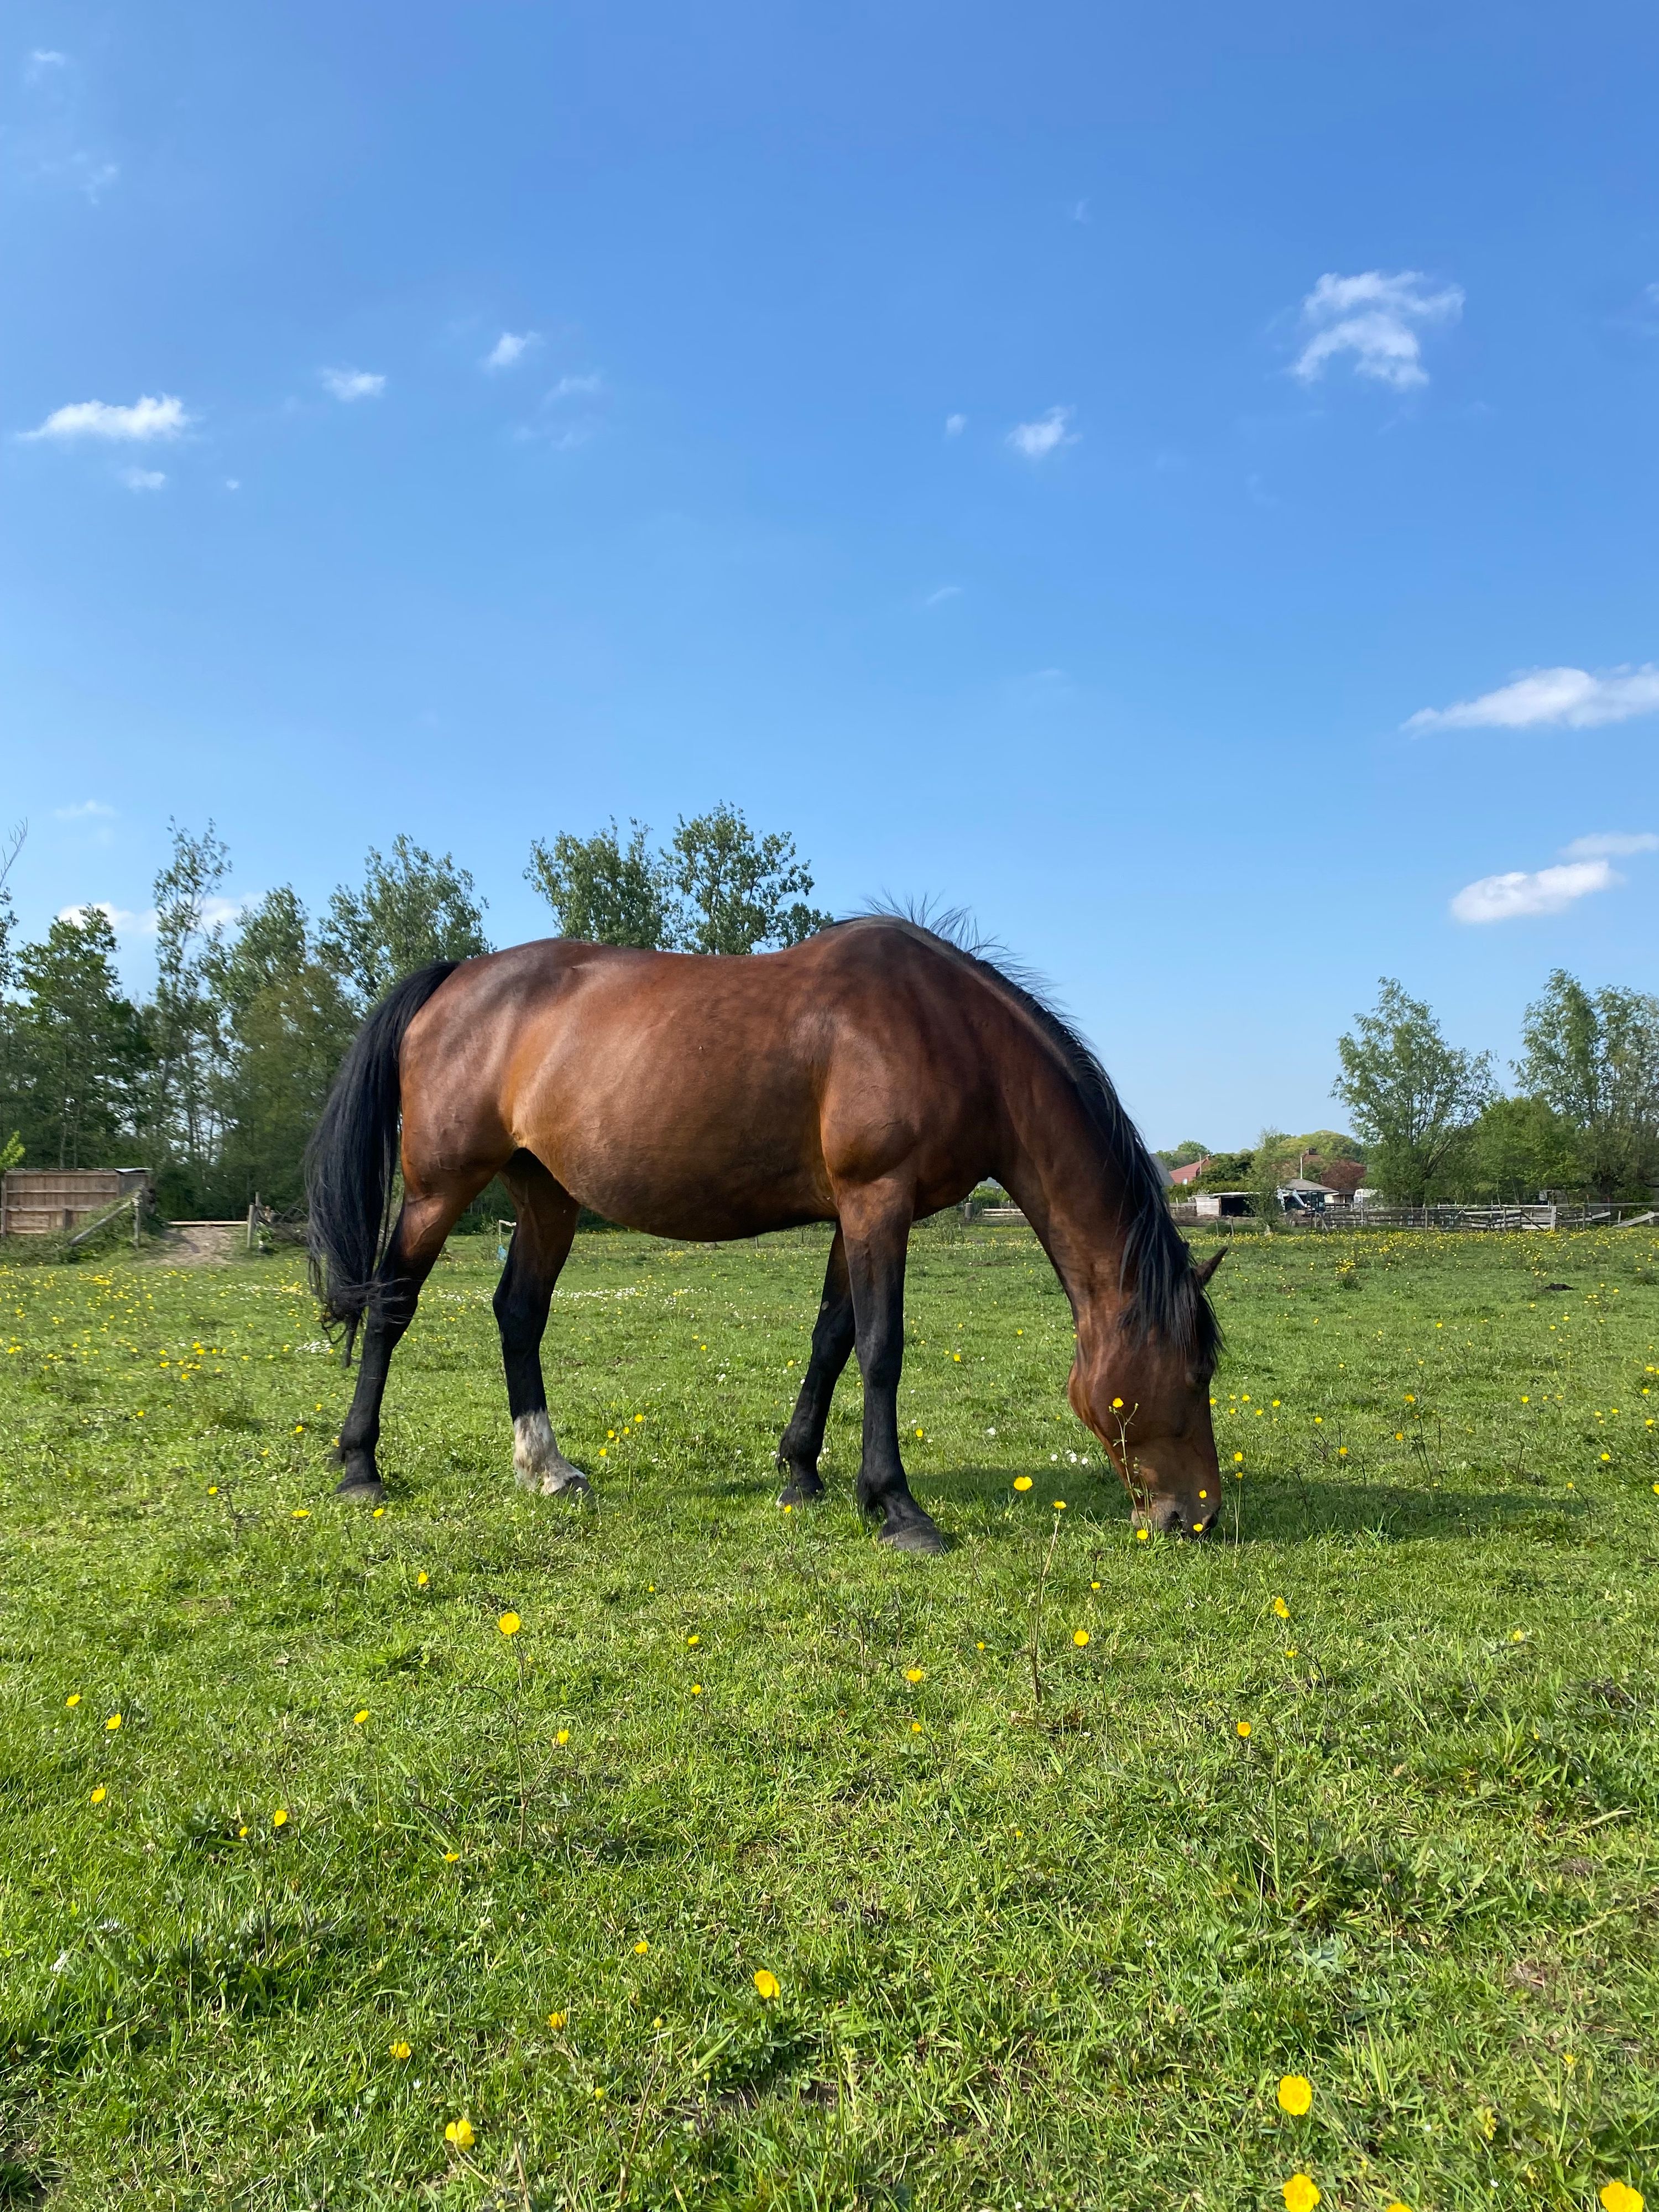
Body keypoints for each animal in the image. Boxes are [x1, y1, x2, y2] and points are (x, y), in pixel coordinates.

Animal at [305, 916, 1224, 1552]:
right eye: (1193, 1375)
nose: (1198, 1517)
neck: (945, 1029)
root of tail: (455, 979)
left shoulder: (854, 1214)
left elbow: (832, 1339)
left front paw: (802, 1474)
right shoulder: (877, 1200)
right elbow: (882, 1348)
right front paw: (897, 1506)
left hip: (547, 1196)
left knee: (519, 1314)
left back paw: (548, 1467)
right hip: (438, 1189)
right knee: (391, 1306)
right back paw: (360, 1469)